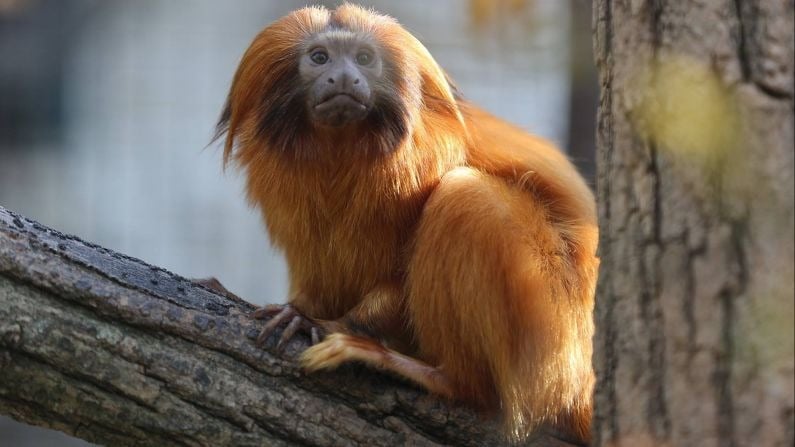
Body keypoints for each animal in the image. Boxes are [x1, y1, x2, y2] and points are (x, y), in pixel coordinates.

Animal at [214, 4, 598, 444]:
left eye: (364, 58)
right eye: (320, 58)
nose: (344, 77)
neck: (340, 154)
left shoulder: (426, 158)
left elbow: (397, 282)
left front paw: (332, 322)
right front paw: (299, 309)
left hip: (551, 330)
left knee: (467, 197)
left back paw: (434, 375)